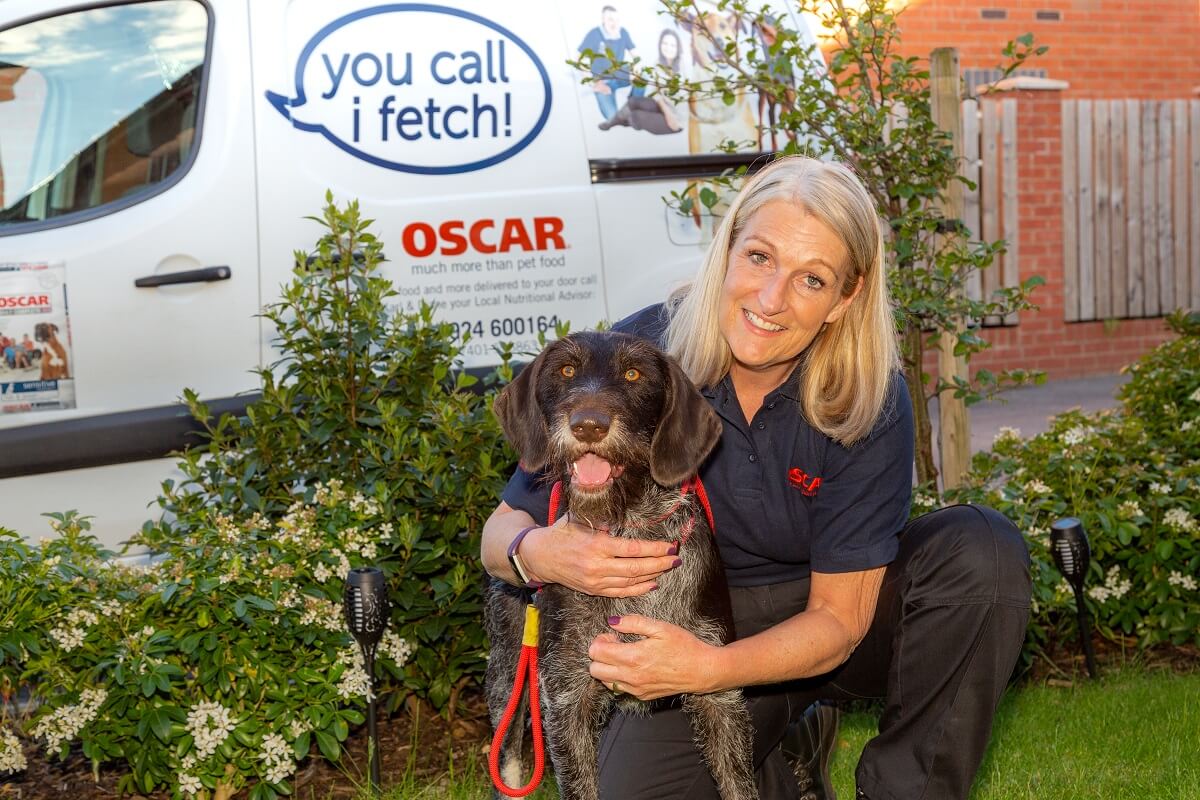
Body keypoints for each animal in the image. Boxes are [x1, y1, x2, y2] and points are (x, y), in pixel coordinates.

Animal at [482, 331, 753, 800]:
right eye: (566, 370)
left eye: (633, 374)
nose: (588, 424)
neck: (628, 526)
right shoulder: (566, 700)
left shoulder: (718, 694)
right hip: (509, 680)